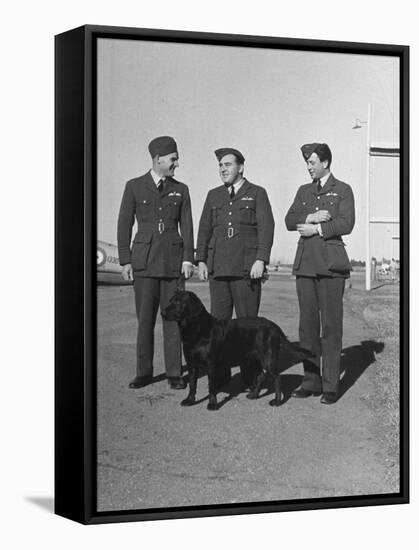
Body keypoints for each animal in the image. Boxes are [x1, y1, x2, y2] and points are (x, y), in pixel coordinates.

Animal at [162, 292, 314, 412]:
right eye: (170, 300)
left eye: (178, 302)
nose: (162, 313)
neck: (197, 330)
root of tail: (274, 326)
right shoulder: (192, 364)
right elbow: (192, 385)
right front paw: (190, 400)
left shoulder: (211, 365)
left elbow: (212, 387)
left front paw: (212, 404)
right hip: (254, 359)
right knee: (260, 376)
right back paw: (253, 395)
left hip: (268, 359)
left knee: (277, 378)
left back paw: (276, 401)